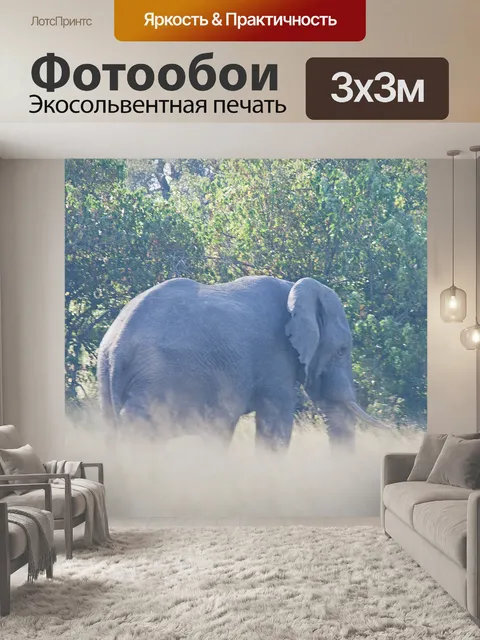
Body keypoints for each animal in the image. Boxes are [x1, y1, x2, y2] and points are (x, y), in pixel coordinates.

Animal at [97, 275, 387, 449]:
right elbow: (276, 425)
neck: (294, 289)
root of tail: (118, 344)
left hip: (106, 376)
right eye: (341, 350)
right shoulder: (275, 355)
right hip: (156, 378)